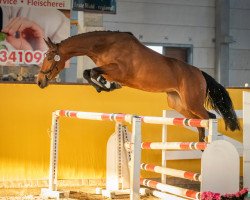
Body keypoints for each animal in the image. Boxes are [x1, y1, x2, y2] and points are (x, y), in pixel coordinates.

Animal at [37, 30, 240, 141]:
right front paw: (105, 86)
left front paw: (105, 86)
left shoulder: (119, 70)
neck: (105, 45)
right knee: (198, 123)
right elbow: (89, 73)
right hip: (179, 104)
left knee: (209, 117)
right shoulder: (109, 70)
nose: (39, 81)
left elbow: (93, 72)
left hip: (192, 102)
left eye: (49, 57)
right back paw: (201, 146)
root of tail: (200, 73)